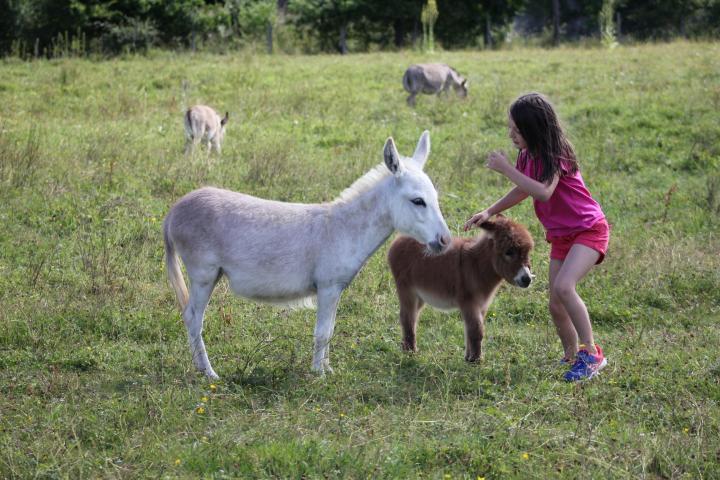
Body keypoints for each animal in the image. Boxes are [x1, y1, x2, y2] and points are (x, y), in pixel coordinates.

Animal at [388, 216, 536, 362]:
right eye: (508, 252)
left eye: (527, 252)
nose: (527, 279)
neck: (476, 265)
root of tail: (399, 238)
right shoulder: (468, 302)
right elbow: (476, 330)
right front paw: (476, 360)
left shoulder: (481, 305)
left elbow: (471, 330)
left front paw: (469, 357)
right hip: (407, 290)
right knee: (407, 317)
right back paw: (410, 353)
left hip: (420, 296)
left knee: (412, 317)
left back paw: (406, 348)